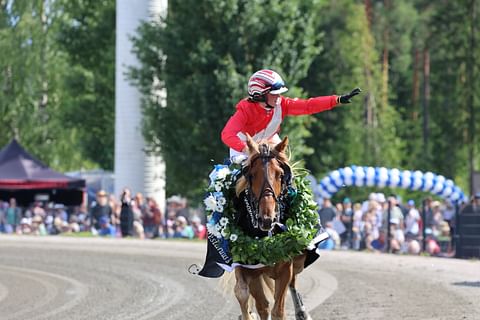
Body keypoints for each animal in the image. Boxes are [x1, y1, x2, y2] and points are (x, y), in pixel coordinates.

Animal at [232, 134, 312, 320]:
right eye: (252, 175)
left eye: (280, 174)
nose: (267, 219)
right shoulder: (245, 265)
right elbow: (244, 294)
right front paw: (248, 314)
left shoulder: (285, 268)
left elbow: (278, 310)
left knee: (292, 284)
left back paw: (302, 312)